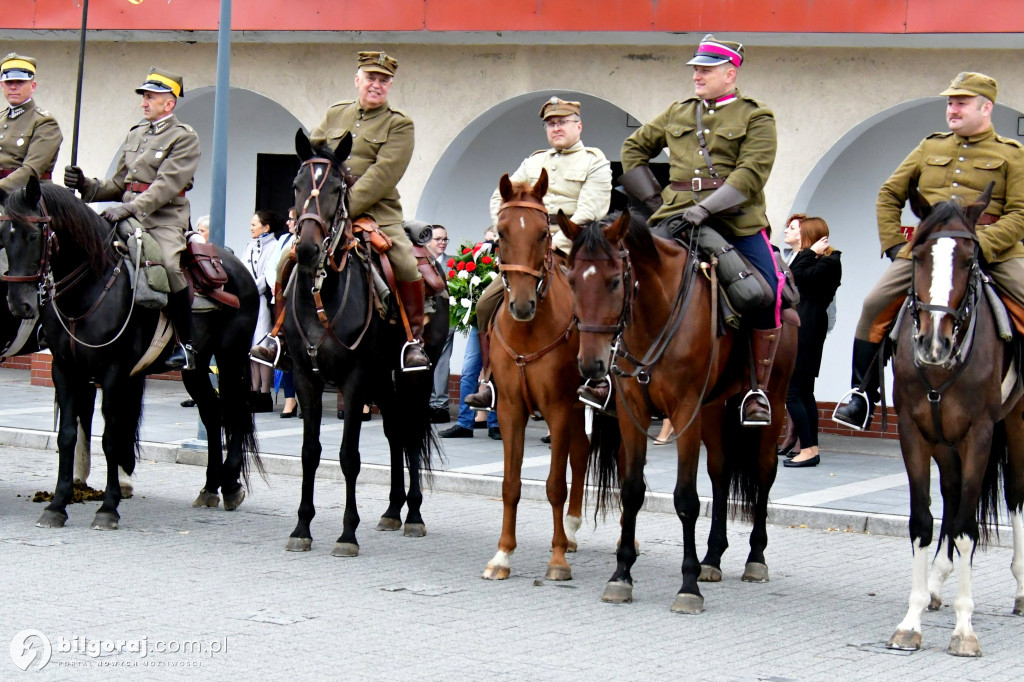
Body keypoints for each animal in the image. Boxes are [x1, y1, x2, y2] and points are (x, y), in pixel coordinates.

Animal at [0, 175, 262, 524]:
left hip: (231, 356)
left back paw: (231, 483)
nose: (20, 305)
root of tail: (236, 264)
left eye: (33, 235)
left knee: (236, 409)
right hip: (196, 367)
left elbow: (112, 436)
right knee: (212, 412)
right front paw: (57, 505)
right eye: (4, 236)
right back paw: (210, 487)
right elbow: (67, 435)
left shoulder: (114, 370)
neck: (91, 287)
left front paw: (108, 507)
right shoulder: (65, 369)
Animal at [282, 130, 438, 557]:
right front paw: (302, 527)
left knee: (411, 433)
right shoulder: (305, 377)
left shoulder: (353, 380)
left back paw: (414, 515)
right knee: (396, 432)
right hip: (383, 379)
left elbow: (348, 456)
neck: (323, 293)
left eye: (337, 188)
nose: (307, 250)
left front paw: (347, 534)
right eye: (296, 185)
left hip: (415, 376)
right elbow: (309, 453)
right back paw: (393, 509)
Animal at [483, 169, 598, 577]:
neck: (529, 330)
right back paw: (573, 529)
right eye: (501, 232)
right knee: (582, 452)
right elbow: (510, 484)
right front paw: (502, 554)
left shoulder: (559, 407)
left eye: (543, 233)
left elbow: (554, 485)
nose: (521, 304)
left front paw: (558, 559)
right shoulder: (511, 408)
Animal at [565, 208, 794, 610]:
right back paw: (713, 558)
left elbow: (686, 498)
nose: (592, 365)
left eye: (614, 281)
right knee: (720, 474)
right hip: (714, 409)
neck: (656, 313)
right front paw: (621, 575)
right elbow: (632, 491)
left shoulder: (685, 410)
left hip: (775, 404)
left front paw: (687, 586)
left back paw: (755, 558)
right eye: (572, 280)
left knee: (764, 474)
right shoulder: (633, 410)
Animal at [888, 183, 1024, 655]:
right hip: (943, 441)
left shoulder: (979, 434)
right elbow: (922, 521)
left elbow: (966, 528)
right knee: (950, 494)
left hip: (1015, 423)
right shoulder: (913, 433)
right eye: (917, 256)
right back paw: (935, 583)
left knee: (1016, 495)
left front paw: (964, 629)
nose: (935, 342)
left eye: (969, 260)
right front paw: (910, 620)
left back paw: (1020, 590)